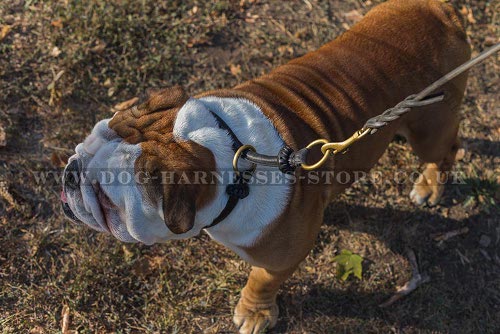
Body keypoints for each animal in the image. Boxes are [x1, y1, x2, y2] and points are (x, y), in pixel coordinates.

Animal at [60, 0, 470, 332]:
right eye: (85, 144)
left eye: (105, 198)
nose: (70, 173)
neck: (233, 159)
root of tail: (441, 10)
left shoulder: (283, 256)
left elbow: (261, 280)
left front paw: (254, 313)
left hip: (430, 126)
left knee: (447, 147)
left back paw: (431, 184)